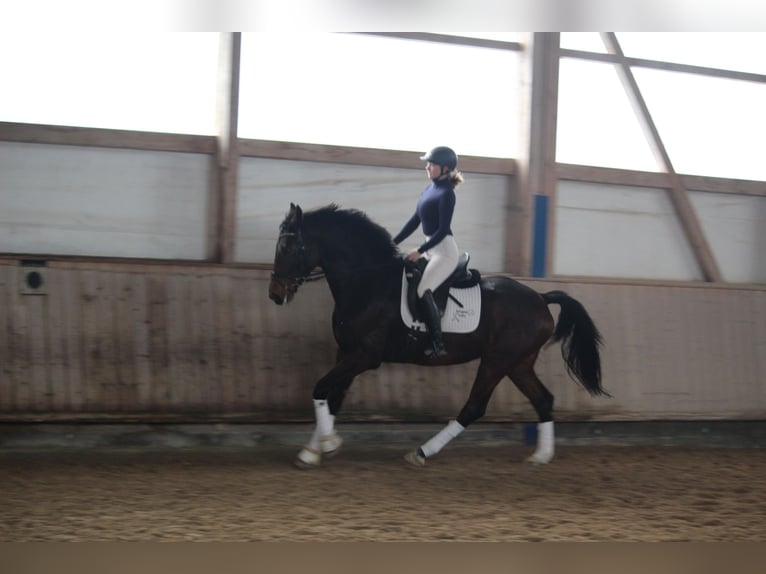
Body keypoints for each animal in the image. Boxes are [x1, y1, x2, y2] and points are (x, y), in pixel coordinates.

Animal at [270, 205, 612, 470]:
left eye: (287, 247)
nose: (274, 295)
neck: (368, 282)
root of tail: (540, 298)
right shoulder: (347, 352)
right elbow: (332, 398)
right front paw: (313, 450)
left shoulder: (364, 356)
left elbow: (320, 388)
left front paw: (327, 444)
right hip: (519, 363)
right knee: (543, 399)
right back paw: (540, 456)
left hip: (497, 361)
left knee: (474, 407)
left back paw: (422, 452)